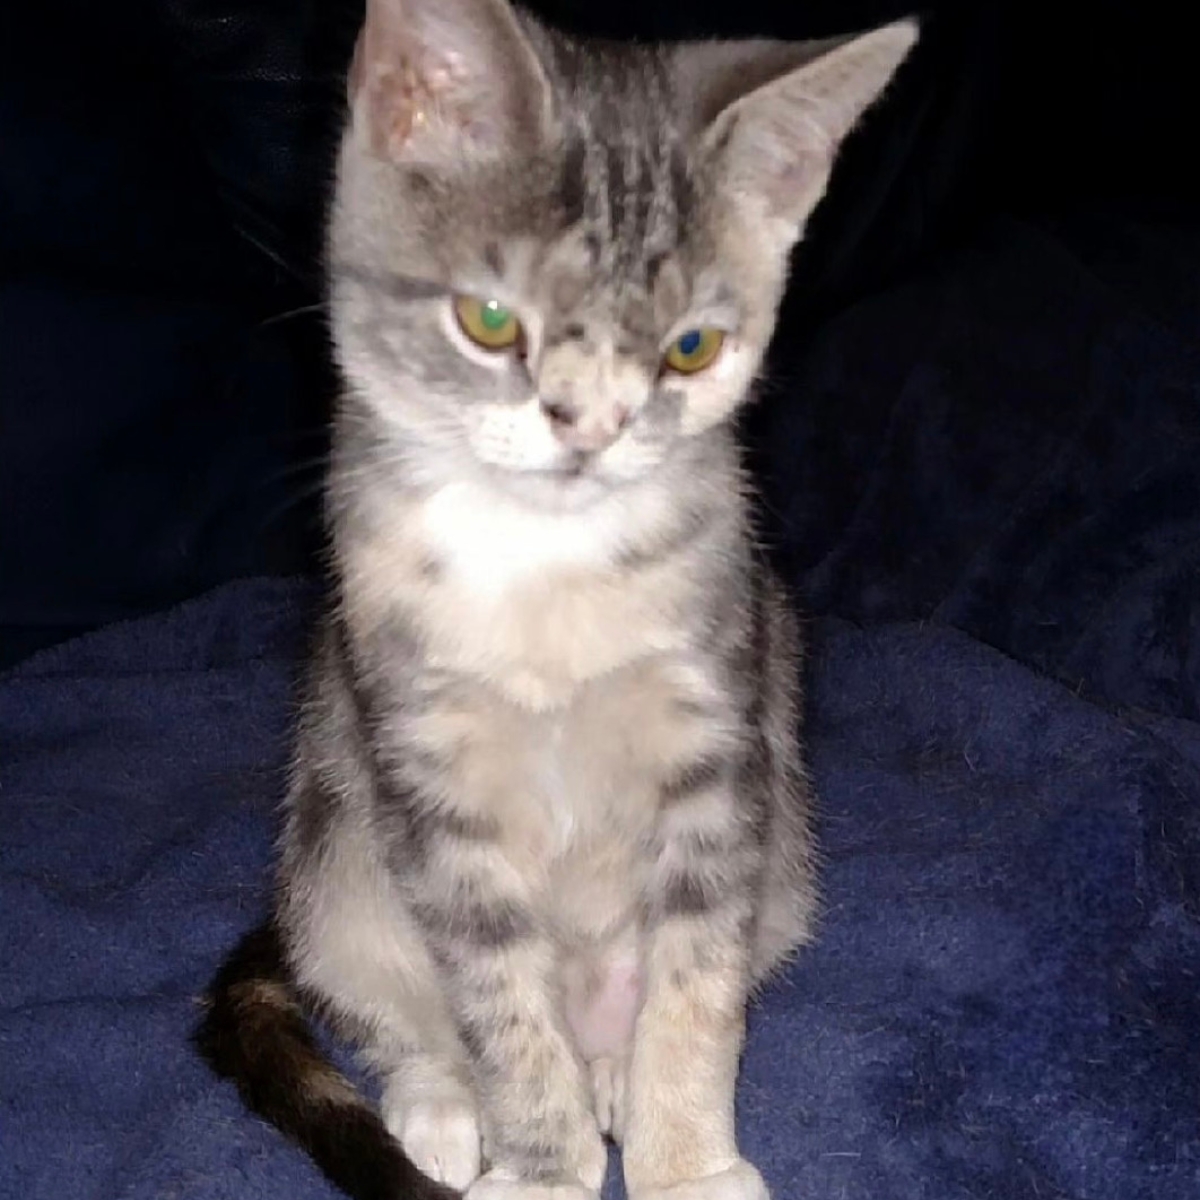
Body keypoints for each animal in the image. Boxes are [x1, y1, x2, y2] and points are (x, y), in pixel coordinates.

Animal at [196, 2, 912, 1200]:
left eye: (690, 347)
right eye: (491, 321)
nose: (590, 428)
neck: (547, 568)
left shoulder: (722, 745)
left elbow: (696, 977)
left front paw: (687, 1158)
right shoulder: (423, 771)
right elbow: (497, 996)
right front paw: (541, 1163)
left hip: (790, 867)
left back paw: (612, 1072)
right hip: (331, 852)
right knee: (391, 997)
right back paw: (440, 1104)